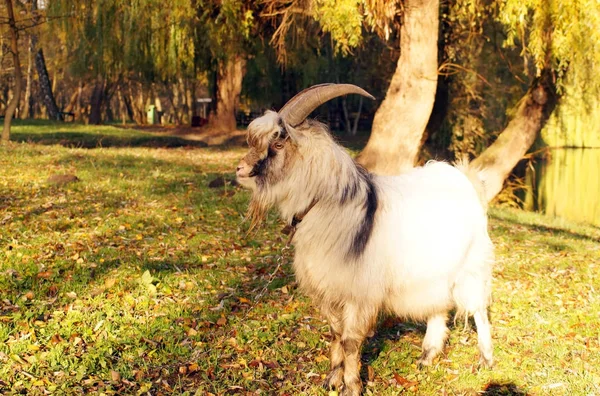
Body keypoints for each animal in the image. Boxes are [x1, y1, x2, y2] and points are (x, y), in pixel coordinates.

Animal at [237, 84, 494, 396]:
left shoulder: (359, 294)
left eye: (277, 144)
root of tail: (466, 179)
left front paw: (352, 385)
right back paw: (427, 356)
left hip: (472, 266)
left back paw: (485, 359)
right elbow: (335, 334)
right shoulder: (329, 291)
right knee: (439, 307)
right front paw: (332, 379)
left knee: (479, 309)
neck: (328, 207)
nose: (240, 170)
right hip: (436, 272)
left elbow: (350, 341)